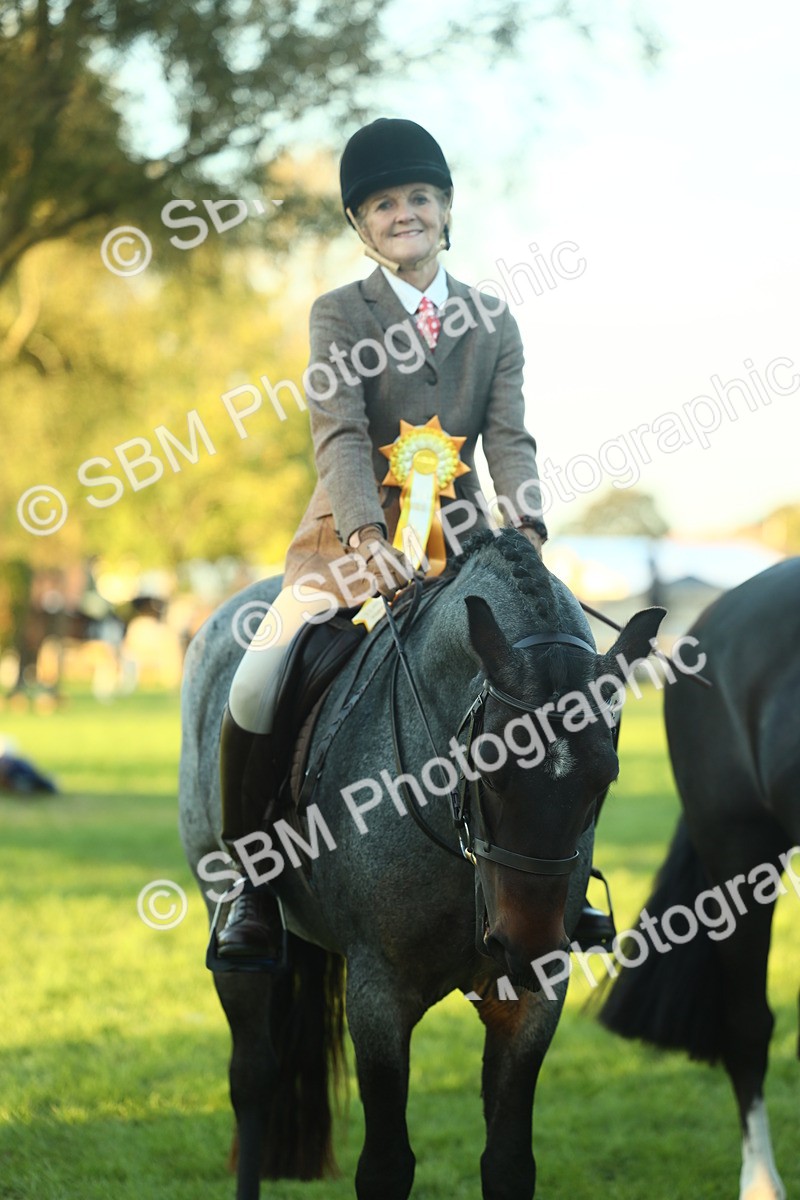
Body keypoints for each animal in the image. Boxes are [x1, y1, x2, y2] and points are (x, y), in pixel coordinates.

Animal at [179, 529, 665, 1200]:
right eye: (490, 765)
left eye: (606, 778)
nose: (527, 948)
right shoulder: (378, 995)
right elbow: (385, 1166)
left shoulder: (532, 1000)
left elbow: (509, 1162)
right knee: (252, 1077)